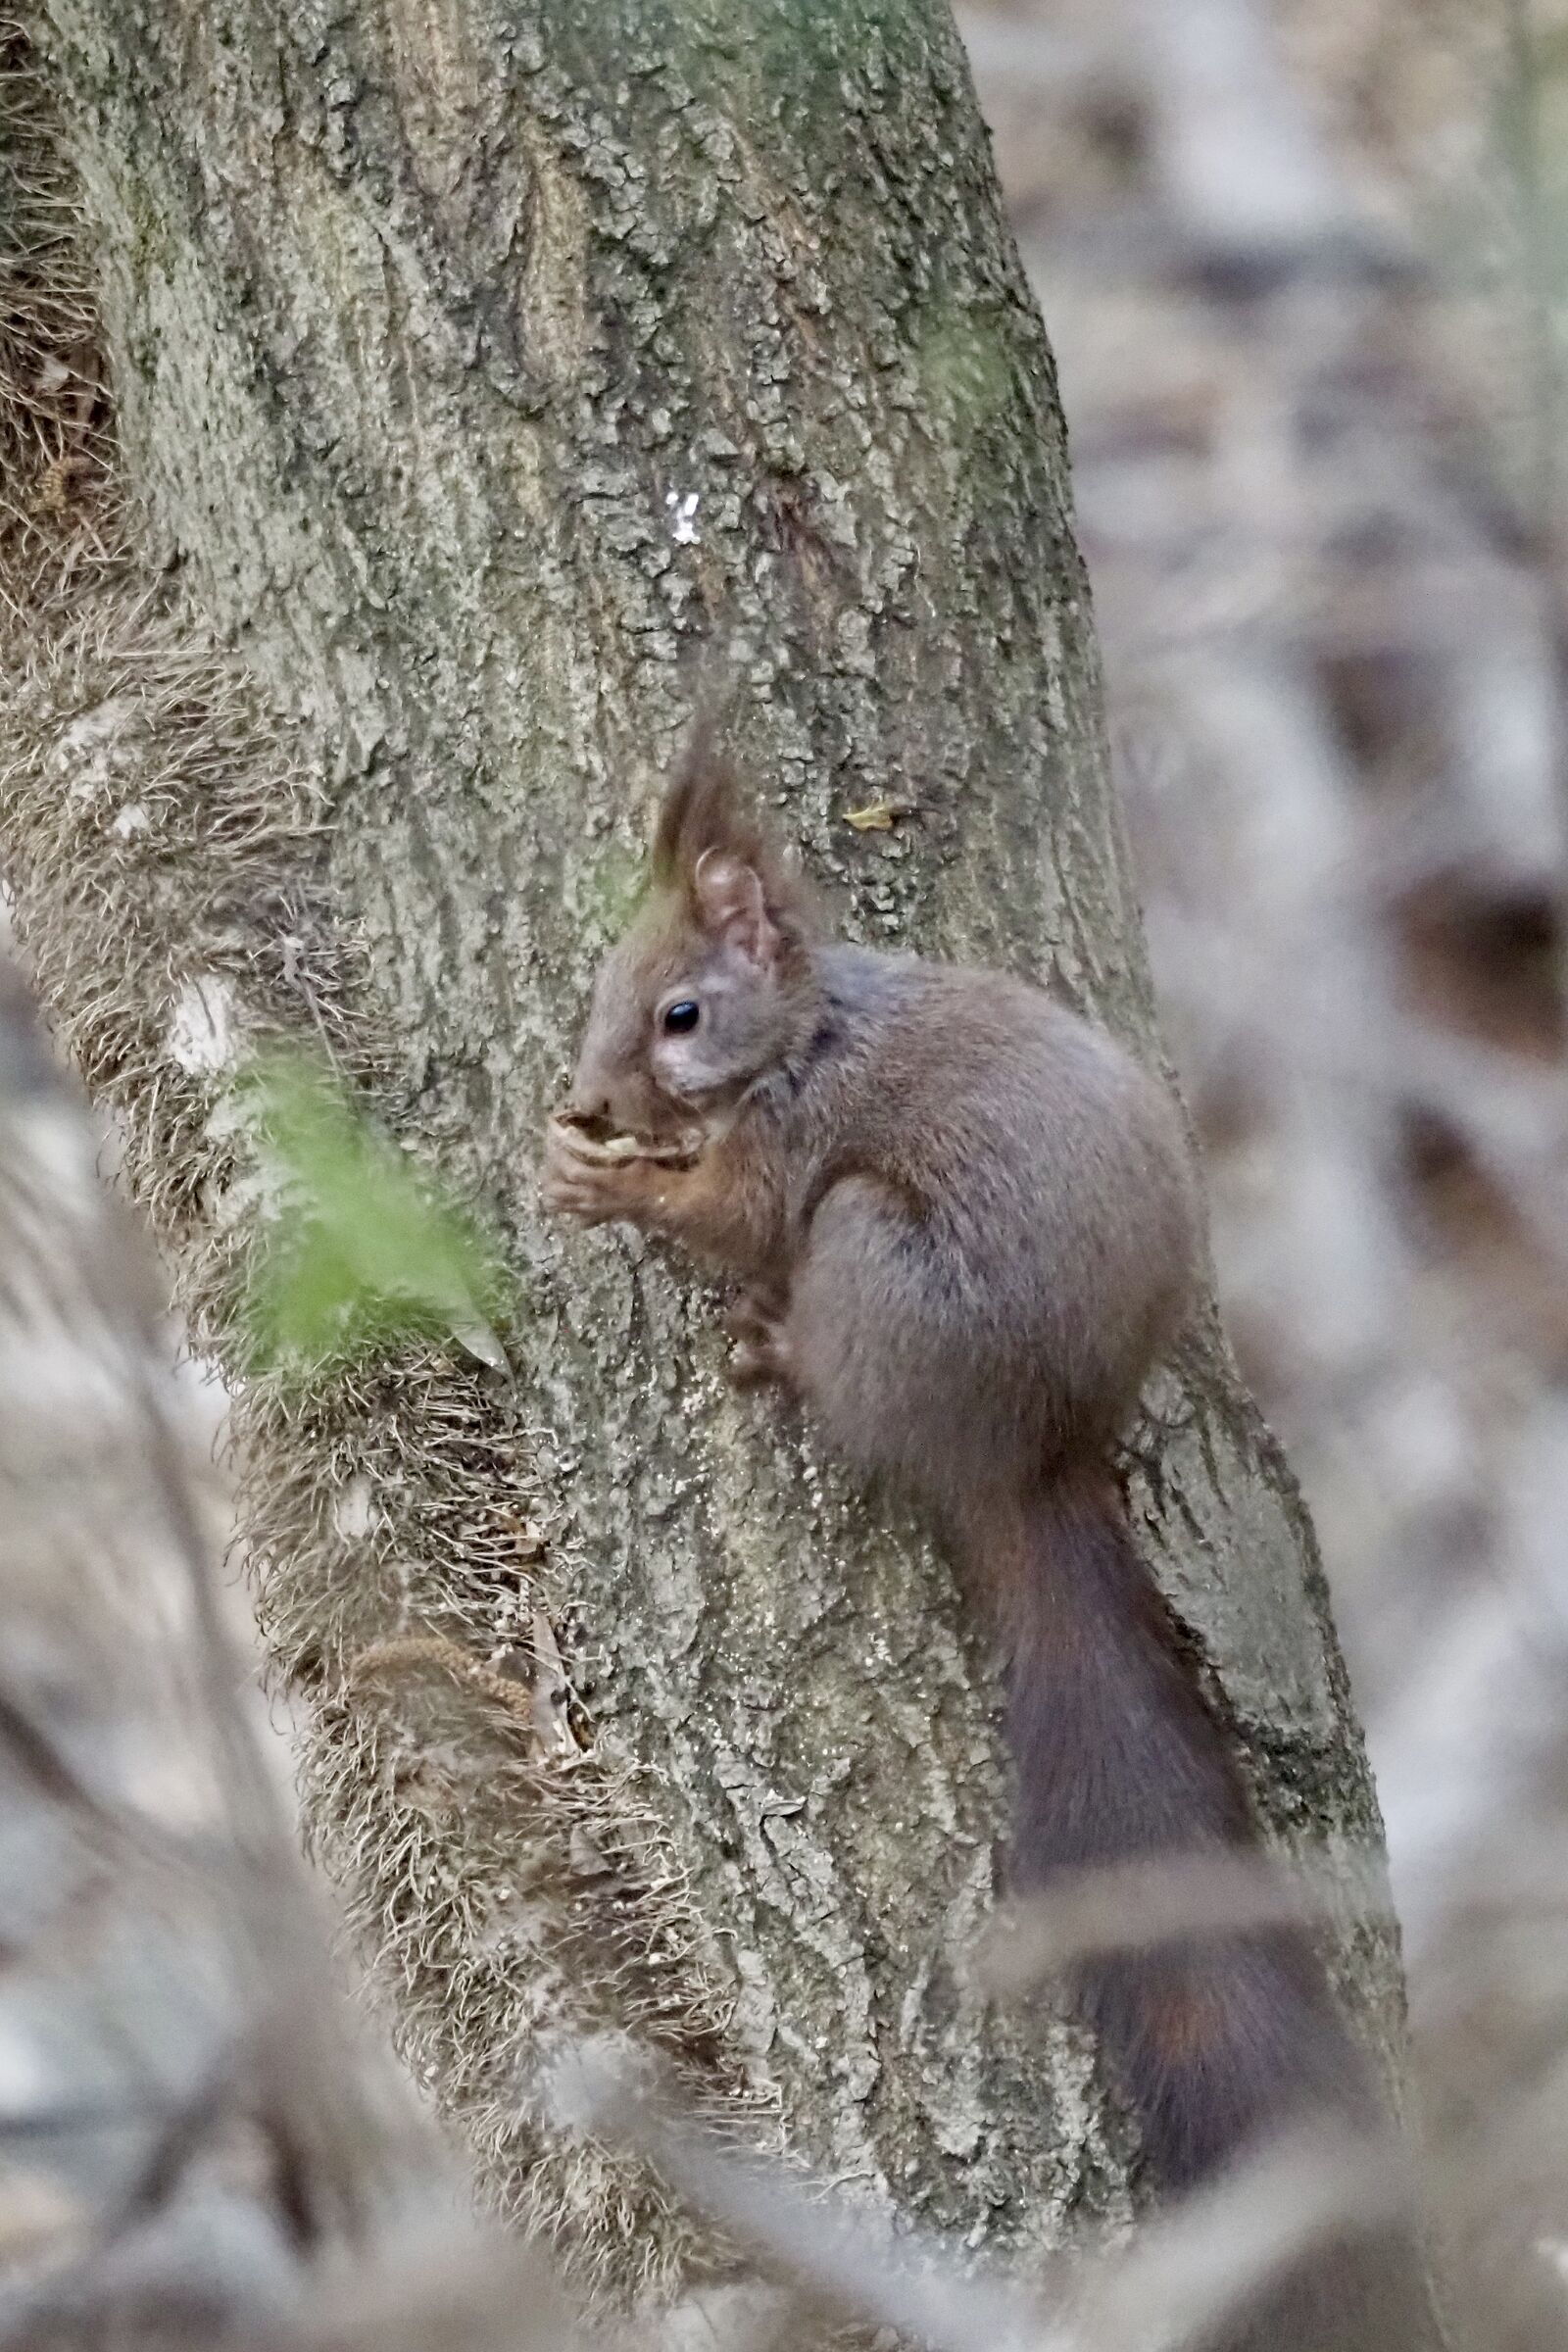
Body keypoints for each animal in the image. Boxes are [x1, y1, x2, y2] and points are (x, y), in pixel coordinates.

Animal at [543, 725, 1425, 2349]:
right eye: (605, 991)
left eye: (680, 1012)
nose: (590, 1095)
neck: (807, 1029)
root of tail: (1031, 1453)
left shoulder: (791, 1148)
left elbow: (729, 1211)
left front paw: (614, 1182)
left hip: (868, 1255)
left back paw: (784, 1354)